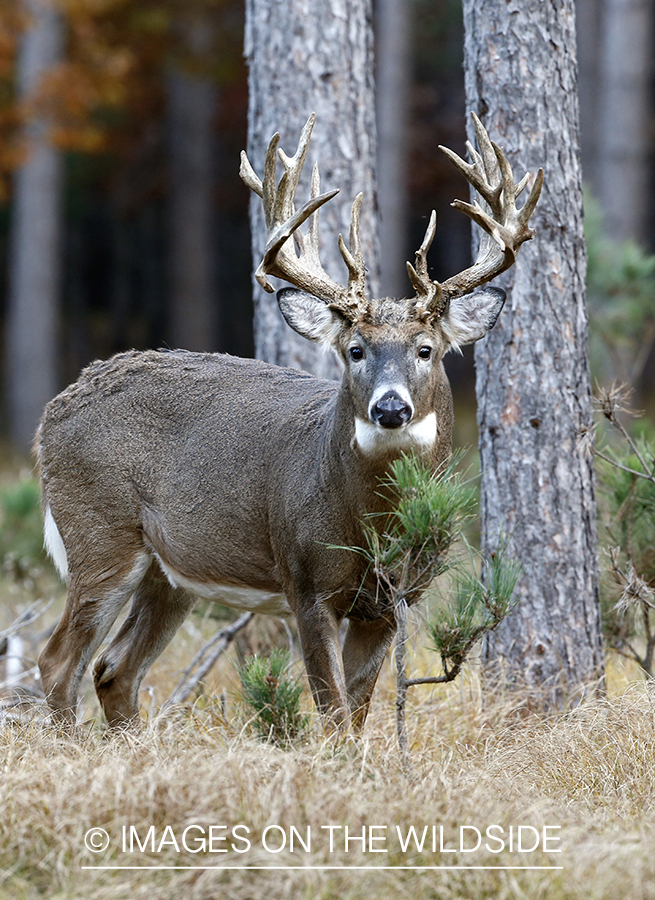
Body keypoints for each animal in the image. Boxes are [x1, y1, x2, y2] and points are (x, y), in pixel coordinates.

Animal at [38, 114, 544, 732]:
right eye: (354, 351)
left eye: (426, 350)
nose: (390, 408)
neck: (374, 526)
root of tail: (54, 410)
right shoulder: (306, 581)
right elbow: (332, 710)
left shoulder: (392, 602)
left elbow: (357, 709)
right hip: (99, 532)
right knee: (58, 661)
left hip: (170, 571)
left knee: (114, 668)